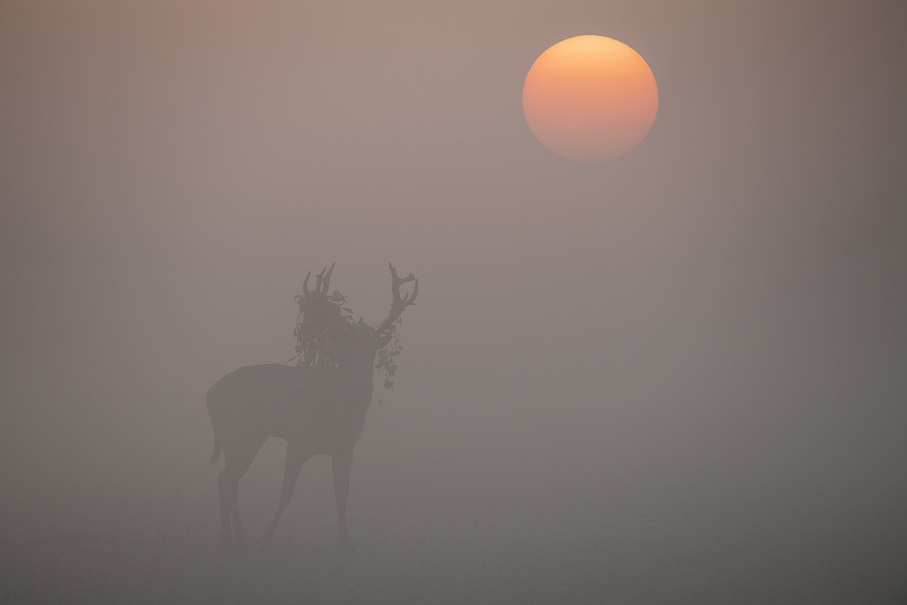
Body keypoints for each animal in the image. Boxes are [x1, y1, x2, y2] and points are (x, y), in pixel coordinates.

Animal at [207, 262, 416, 548]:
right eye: (345, 353)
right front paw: (266, 537)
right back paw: (235, 538)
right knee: (228, 480)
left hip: (246, 437)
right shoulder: (297, 440)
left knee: (225, 479)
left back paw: (233, 536)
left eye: (372, 352)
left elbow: (342, 494)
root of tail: (209, 395)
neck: (333, 414)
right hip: (238, 434)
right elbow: (286, 492)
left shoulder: (345, 448)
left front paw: (345, 541)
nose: (361, 390)